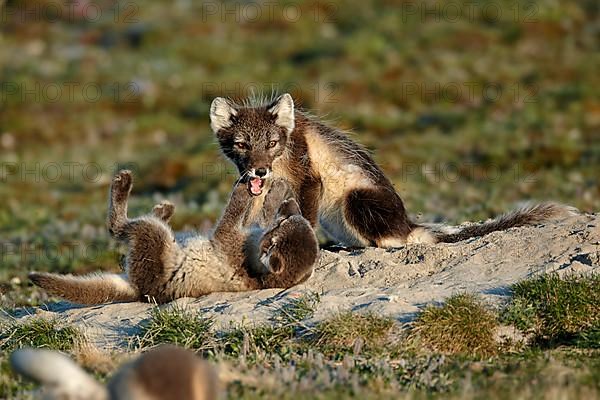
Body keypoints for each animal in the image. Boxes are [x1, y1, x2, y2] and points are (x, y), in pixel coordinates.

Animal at [29, 169, 318, 304]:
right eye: (283, 222)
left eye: (275, 237)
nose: (290, 209)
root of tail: (140, 291)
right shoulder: (250, 227)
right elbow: (260, 210)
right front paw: (277, 190)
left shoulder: (225, 235)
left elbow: (234, 208)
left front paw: (243, 188)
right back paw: (163, 209)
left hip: (151, 236)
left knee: (118, 227)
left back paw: (125, 185)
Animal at [211, 93, 576, 248]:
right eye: (241, 144)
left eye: (272, 142)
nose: (259, 171)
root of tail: (408, 223)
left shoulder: (309, 178)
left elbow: (306, 217)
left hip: (356, 198)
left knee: (392, 241)